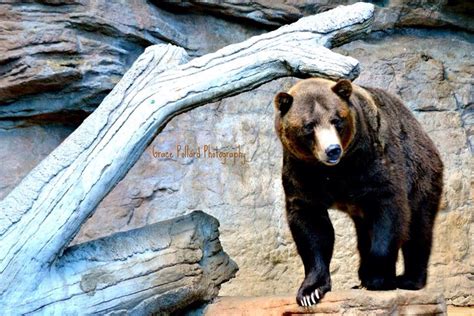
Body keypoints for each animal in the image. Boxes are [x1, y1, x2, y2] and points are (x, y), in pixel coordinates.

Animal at [274, 78, 444, 308]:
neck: (334, 170)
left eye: (336, 120)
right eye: (309, 125)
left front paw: (379, 278)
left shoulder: (371, 161)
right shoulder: (301, 174)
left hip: (421, 173)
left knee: (418, 226)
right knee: (365, 234)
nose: (332, 149)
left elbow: (389, 211)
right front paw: (311, 291)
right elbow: (312, 228)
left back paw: (409, 279)